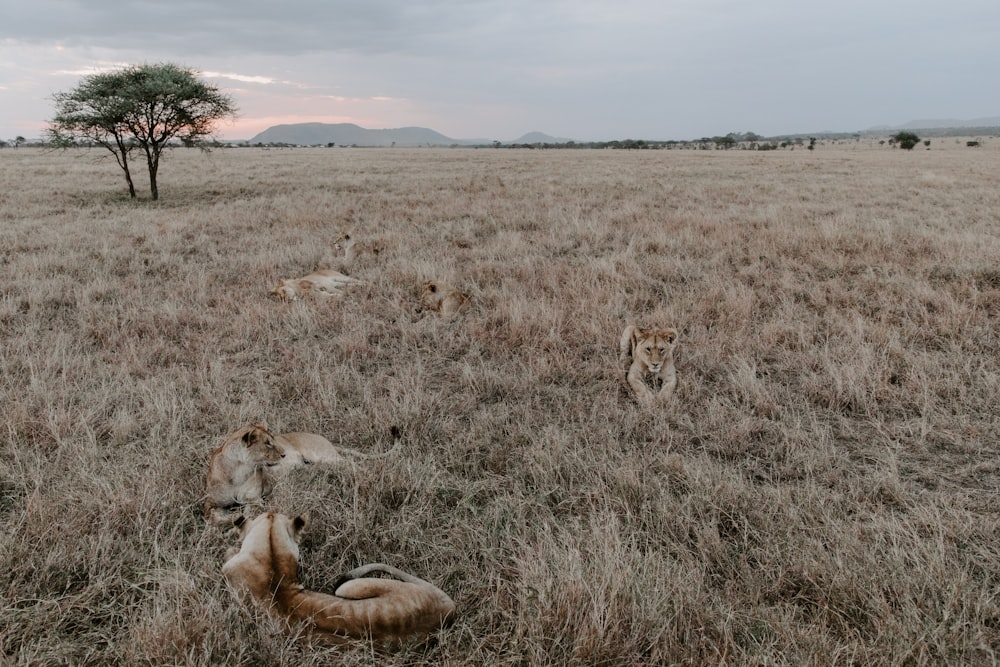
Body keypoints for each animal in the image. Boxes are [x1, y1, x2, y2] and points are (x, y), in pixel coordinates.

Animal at [203, 422, 398, 528]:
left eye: (273, 440)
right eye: (267, 443)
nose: (283, 454)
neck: (238, 471)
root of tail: (324, 439)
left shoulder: (255, 500)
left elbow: (248, 511)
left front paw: (237, 518)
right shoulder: (210, 503)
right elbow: (213, 517)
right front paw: (230, 518)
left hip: (323, 457)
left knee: (352, 464)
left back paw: (367, 475)